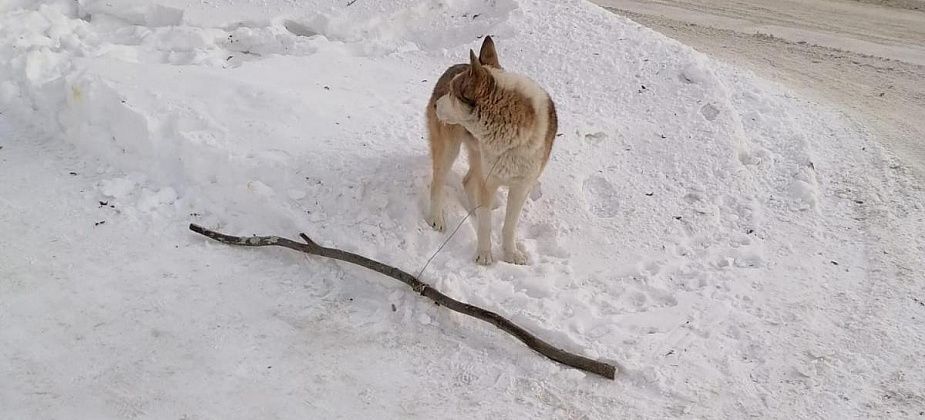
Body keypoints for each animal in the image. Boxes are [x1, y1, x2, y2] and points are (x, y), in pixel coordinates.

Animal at [426, 37, 556, 266]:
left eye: (452, 93)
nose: (435, 104)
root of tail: (454, 66)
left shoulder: (521, 187)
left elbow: (509, 225)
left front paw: (511, 254)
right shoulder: (489, 181)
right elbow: (486, 224)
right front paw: (484, 254)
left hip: (478, 157)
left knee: (468, 181)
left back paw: (472, 212)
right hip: (449, 149)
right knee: (438, 181)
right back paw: (437, 217)